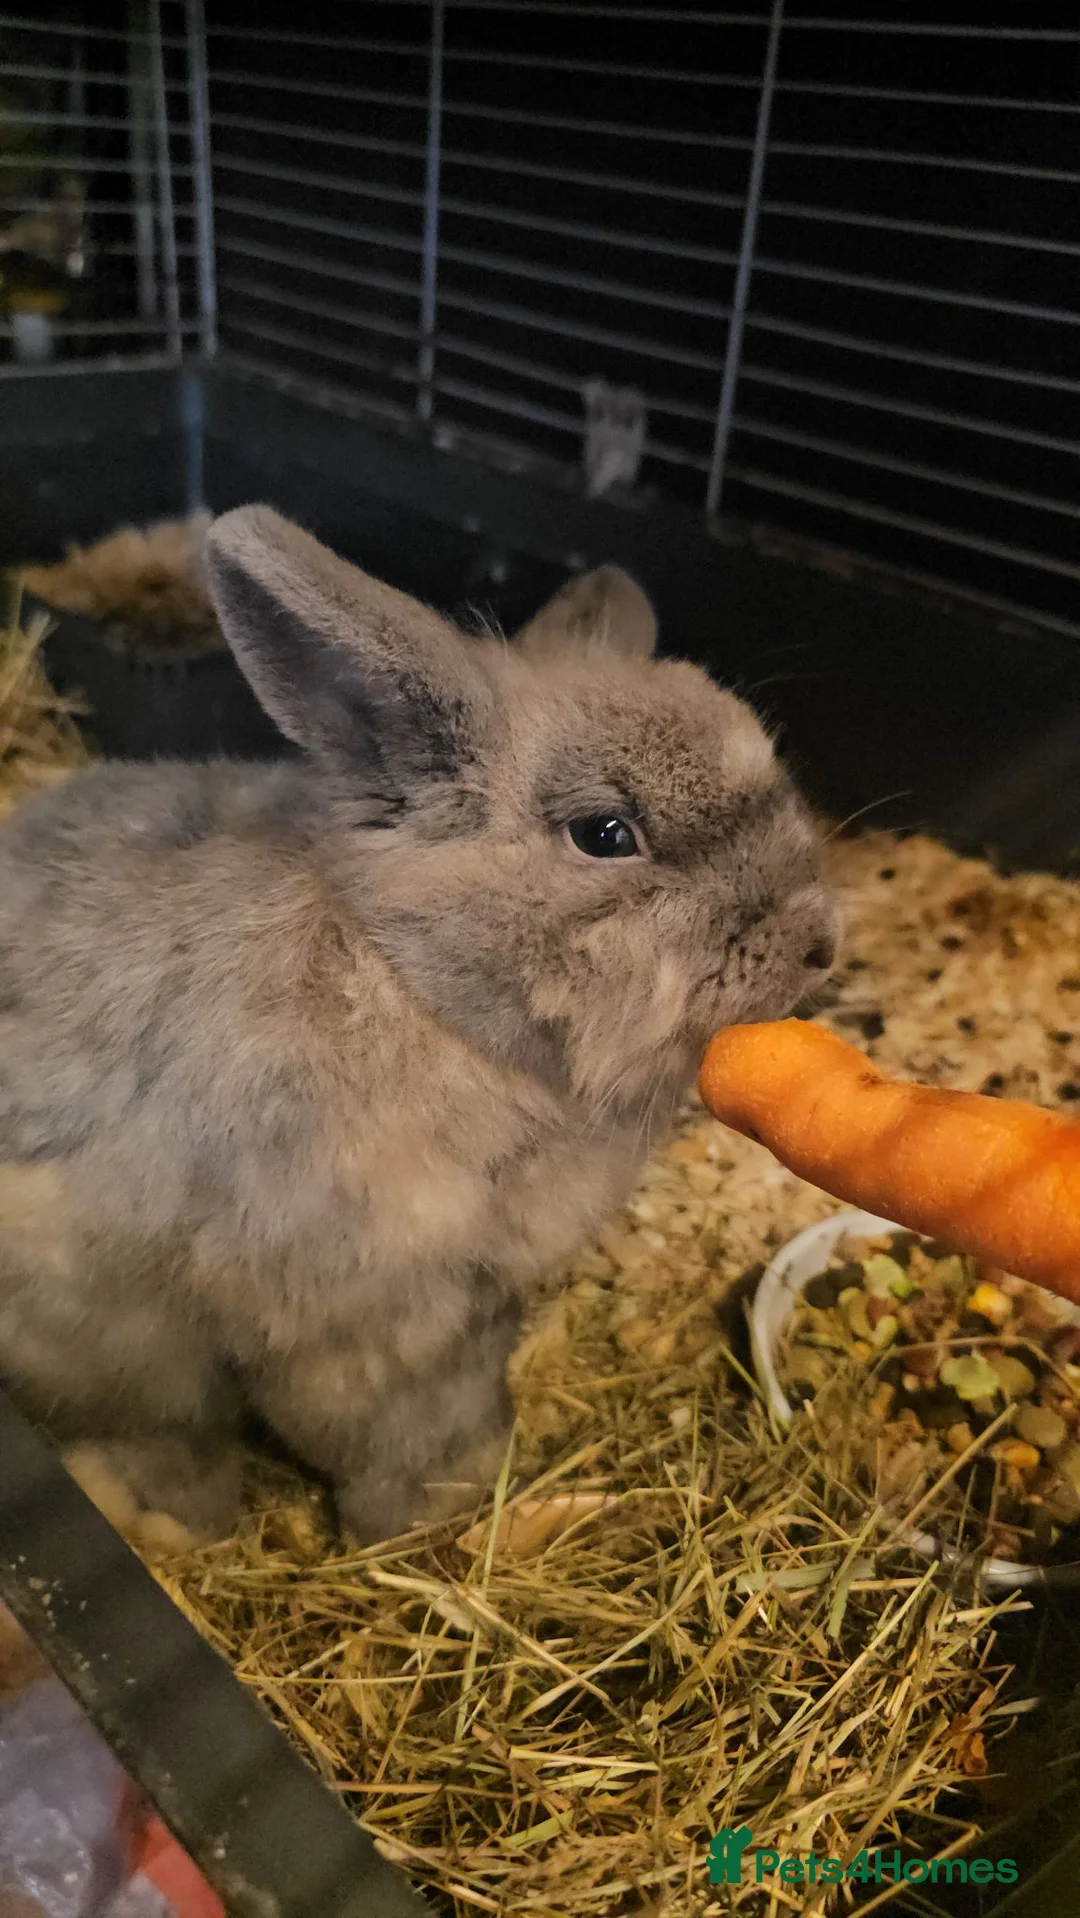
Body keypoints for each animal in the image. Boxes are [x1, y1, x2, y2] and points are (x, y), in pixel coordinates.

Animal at [0, 507, 838, 1547]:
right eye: (604, 834)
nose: (819, 944)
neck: (416, 983)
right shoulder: (363, 1322)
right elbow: (389, 1430)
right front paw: (435, 1517)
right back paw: (175, 1521)